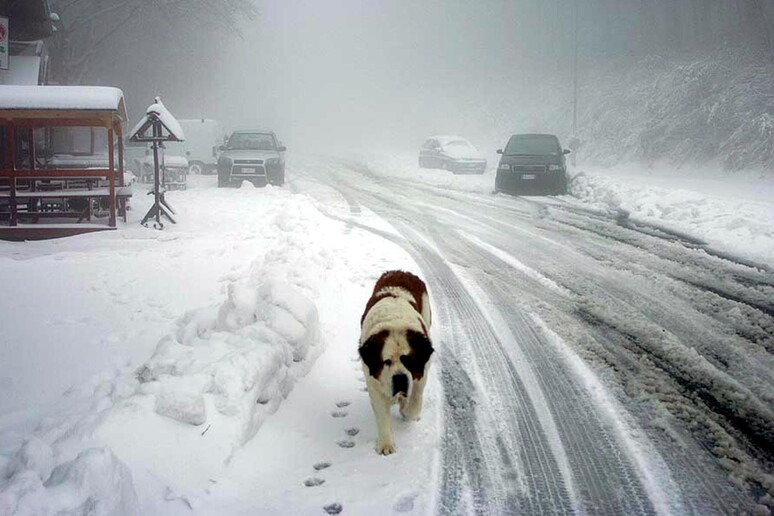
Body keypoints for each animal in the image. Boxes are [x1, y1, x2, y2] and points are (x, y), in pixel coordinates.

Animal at [360, 270, 434, 456]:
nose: (400, 378)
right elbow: (382, 414)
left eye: (409, 360)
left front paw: (406, 411)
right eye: (386, 361)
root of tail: (400, 271)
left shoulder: (421, 373)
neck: (394, 323)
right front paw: (386, 445)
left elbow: (415, 401)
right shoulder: (374, 381)